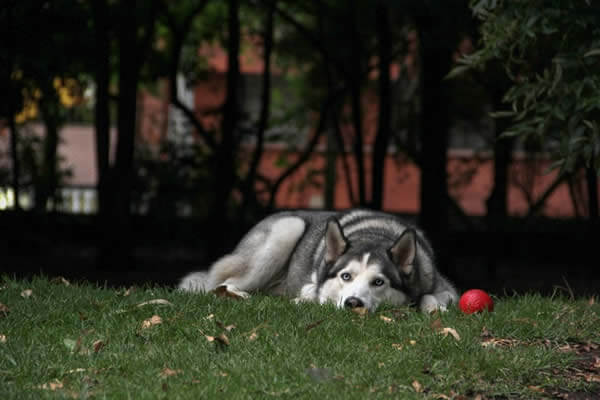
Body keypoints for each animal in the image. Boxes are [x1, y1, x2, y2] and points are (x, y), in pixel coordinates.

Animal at [180, 209, 458, 312]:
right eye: (346, 276)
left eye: (378, 282)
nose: (353, 303)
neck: (375, 234)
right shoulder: (314, 284)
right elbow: (314, 293)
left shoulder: (447, 289)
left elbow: (431, 297)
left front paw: (433, 308)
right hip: (286, 229)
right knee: (221, 283)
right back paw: (239, 295)